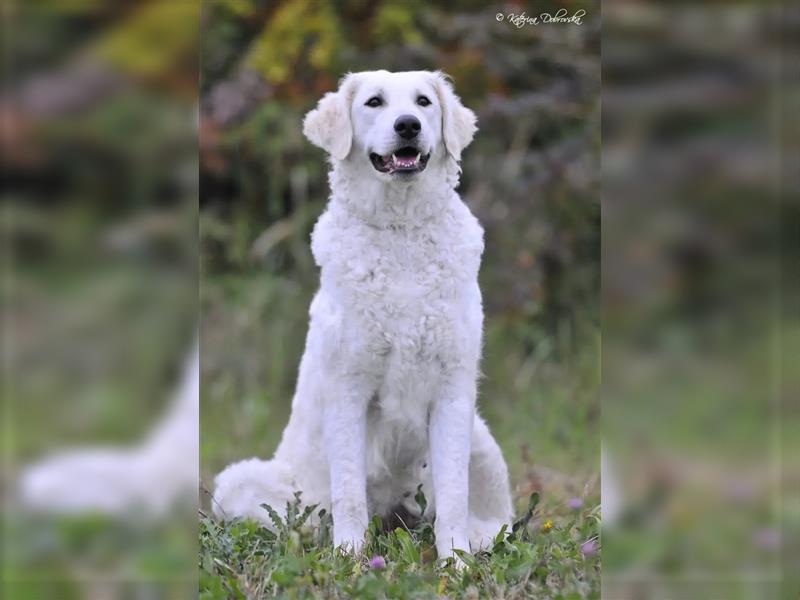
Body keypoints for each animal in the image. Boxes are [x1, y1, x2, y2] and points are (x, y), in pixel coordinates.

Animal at [212, 70, 512, 564]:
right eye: (374, 102)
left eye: (424, 102)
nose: (408, 125)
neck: (400, 230)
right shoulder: (348, 388)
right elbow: (349, 489)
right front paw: (350, 558)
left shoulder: (453, 391)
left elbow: (453, 494)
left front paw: (455, 562)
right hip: (241, 481)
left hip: (481, 437)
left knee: (495, 516)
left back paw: (480, 540)